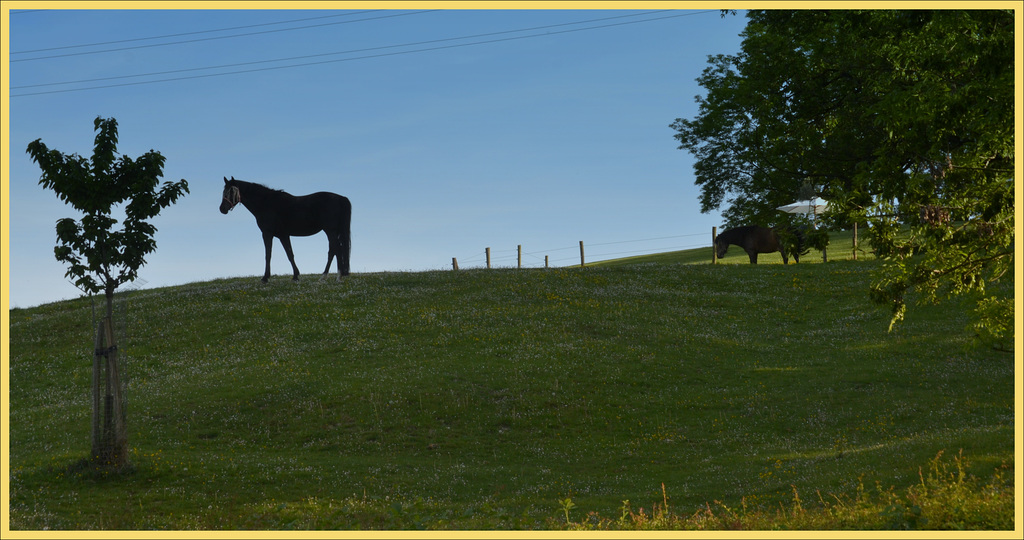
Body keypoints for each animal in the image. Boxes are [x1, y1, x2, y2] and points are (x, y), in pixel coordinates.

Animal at [220, 179, 352, 284]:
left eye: (231, 191)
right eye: (224, 191)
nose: (222, 209)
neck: (266, 203)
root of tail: (341, 198)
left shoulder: (267, 234)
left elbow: (268, 254)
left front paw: (265, 278)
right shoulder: (283, 235)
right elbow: (290, 254)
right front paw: (295, 276)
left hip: (330, 231)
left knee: (335, 249)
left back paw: (333, 276)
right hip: (332, 232)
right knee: (334, 250)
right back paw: (329, 276)